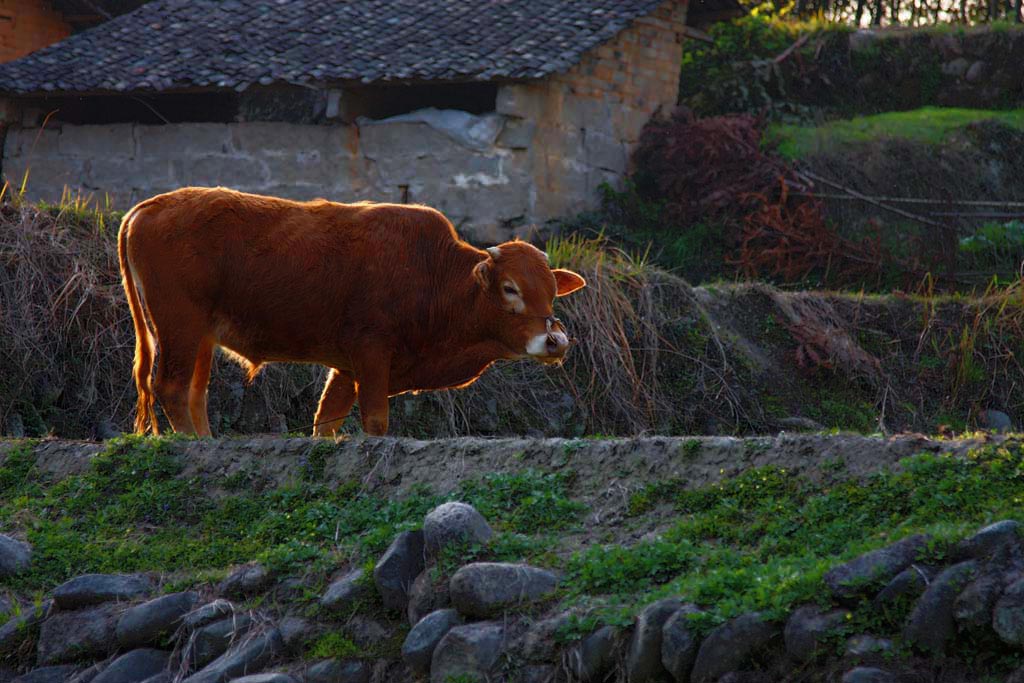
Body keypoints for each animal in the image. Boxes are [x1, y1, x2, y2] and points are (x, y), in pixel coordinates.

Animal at [117, 187, 585, 436]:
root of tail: (150, 206)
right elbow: (374, 422)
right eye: (510, 289)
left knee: (195, 394)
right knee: (171, 387)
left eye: (551, 293)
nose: (555, 341)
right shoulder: (371, 353)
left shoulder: (345, 368)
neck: (432, 273)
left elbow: (325, 422)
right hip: (179, 325)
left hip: (201, 337)